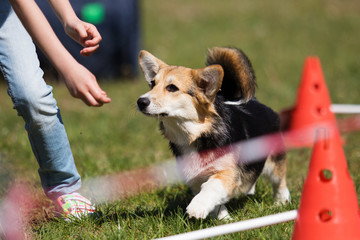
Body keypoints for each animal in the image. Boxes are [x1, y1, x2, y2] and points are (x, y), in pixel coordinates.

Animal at [135, 47, 290, 219]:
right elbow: (215, 201)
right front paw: (224, 219)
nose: (141, 102)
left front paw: (197, 207)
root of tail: (254, 101)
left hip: (274, 162)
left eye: (172, 88)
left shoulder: (227, 173)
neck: (195, 134)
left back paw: (281, 202)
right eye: (152, 84)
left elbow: (211, 187)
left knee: (280, 181)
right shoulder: (195, 178)